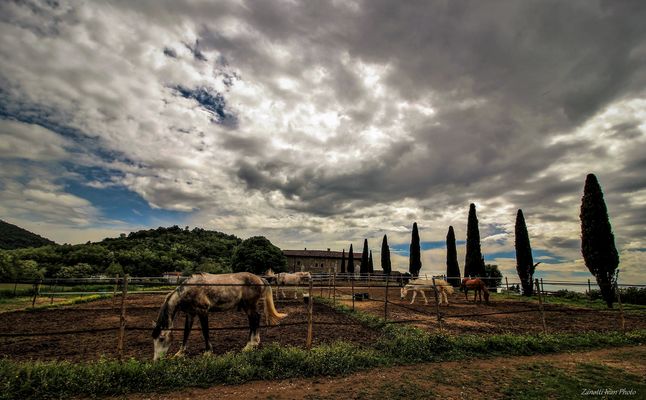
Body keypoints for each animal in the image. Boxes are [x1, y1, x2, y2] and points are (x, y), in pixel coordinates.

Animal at [151, 272, 287, 360]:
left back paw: (249, 346)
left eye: (161, 339)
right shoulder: (190, 314)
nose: (157, 360)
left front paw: (208, 353)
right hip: (247, 306)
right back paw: (254, 343)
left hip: (249, 305)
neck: (191, 289)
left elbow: (205, 331)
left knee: (254, 320)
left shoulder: (203, 312)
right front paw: (179, 354)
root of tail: (260, 278)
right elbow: (186, 332)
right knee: (254, 320)